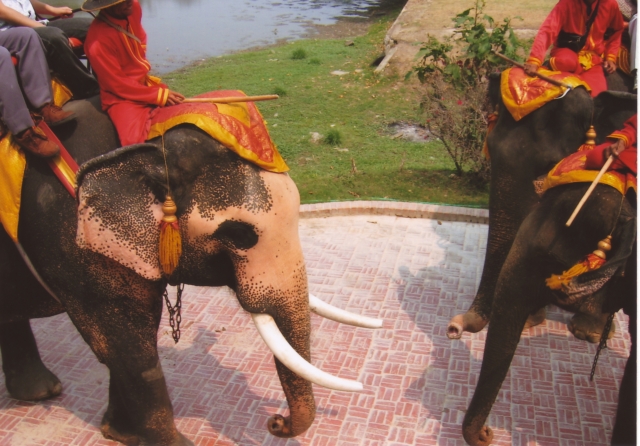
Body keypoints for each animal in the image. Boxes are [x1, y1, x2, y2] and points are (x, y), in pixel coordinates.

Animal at [0, 96, 381, 445]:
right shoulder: (70, 244)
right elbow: (125, 346)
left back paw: (42, 393)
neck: (148, 147)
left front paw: (119, 433)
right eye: (239, 234)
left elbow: (129, 341)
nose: (276, 422)